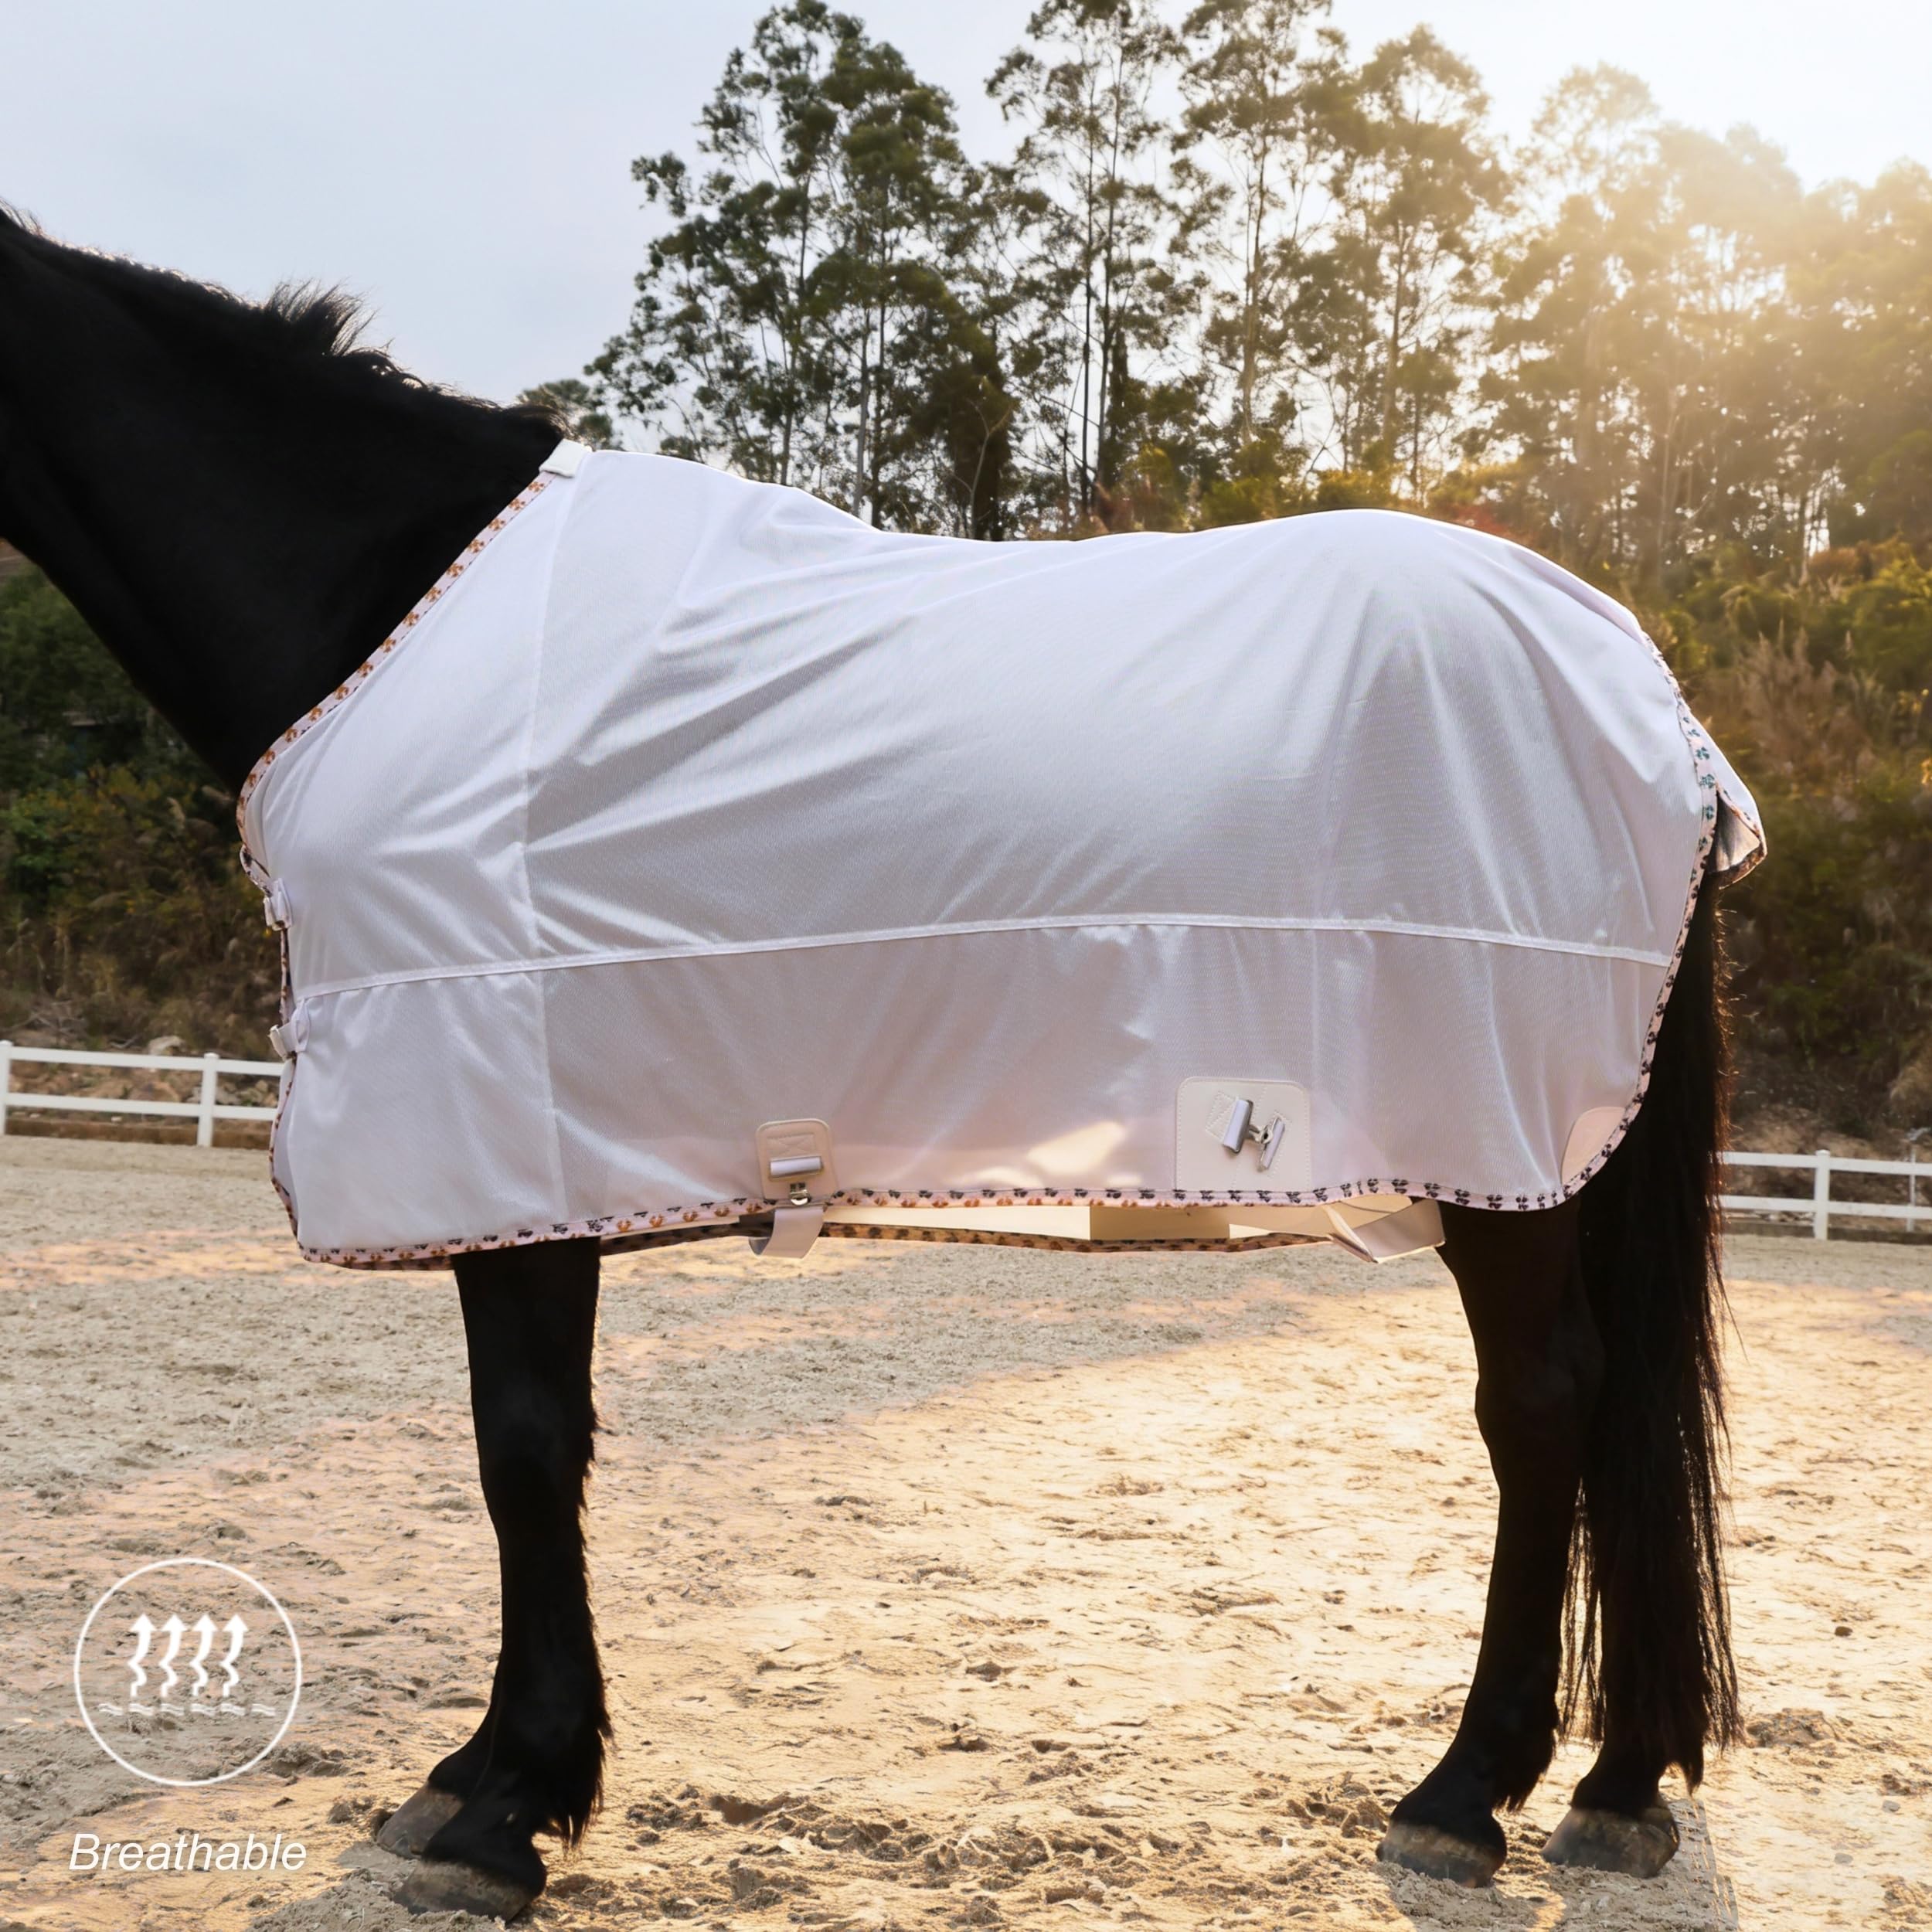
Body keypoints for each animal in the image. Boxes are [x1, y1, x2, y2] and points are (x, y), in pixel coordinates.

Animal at [0, 207, 1748, 1919]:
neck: (391, 608)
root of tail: (1646, 691)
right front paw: (481, 1775)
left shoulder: (515, 1142)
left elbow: (523, 1448)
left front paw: (509, 1800)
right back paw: (1613, 1785)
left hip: (1504, 1150)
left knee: (1544, 1408)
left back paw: (1464, 1796)